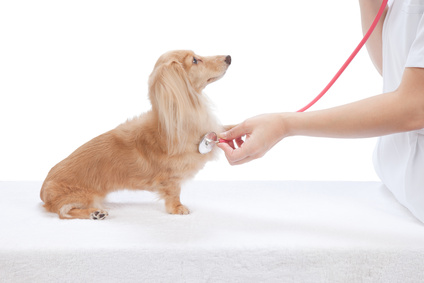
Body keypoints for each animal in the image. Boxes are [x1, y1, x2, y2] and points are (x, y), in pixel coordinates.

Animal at [39, 50, 232, 221]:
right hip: (84, 196)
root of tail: (43, 188)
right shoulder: (171, 178)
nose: (228, 57)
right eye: (194, 60)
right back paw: (95, 213)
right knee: (64, 212)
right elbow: (173, 192)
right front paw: (177, 208)